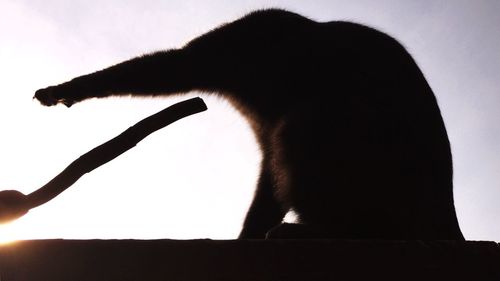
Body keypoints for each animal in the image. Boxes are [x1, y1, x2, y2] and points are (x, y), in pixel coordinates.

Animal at [33, 8, 462, 238]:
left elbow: (160, 67)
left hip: (333, 131)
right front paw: (247, 236)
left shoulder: (237, 44)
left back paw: (317, 229)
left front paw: (65, 90)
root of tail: (445, 212)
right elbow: (266, 182)